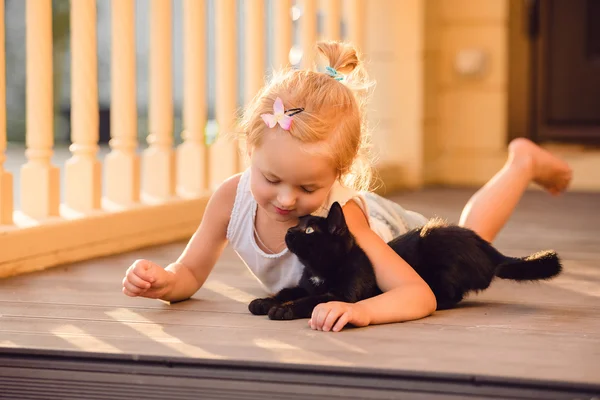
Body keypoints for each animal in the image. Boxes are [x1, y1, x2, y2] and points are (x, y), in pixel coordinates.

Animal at [246, 202, 560, 320]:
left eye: (309, 231)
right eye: (298, 225)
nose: (289, 232)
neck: (318, 270)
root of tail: (486, 246)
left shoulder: (342, 295)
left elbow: (310, 300)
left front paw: (284, 309)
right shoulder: (305, 284)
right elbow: (288, 290)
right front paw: (264, 301)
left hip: (434, 239)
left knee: (451, 295)